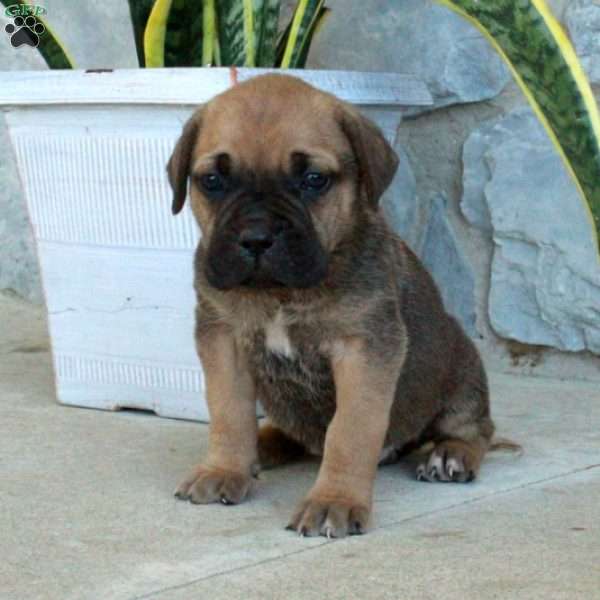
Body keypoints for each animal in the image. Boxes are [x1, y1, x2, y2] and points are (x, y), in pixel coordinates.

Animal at [168, 72, 492, 536]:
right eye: (213, 181)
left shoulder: (364, 350)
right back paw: (261, 448)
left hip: (461, 368)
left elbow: (350, 430)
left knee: (474, 429)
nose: (256, 238)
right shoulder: (223, 340)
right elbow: (229, 411)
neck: (280, 293)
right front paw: (224, 468)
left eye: (313, 179)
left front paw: (334, 500)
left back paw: (451, 454)